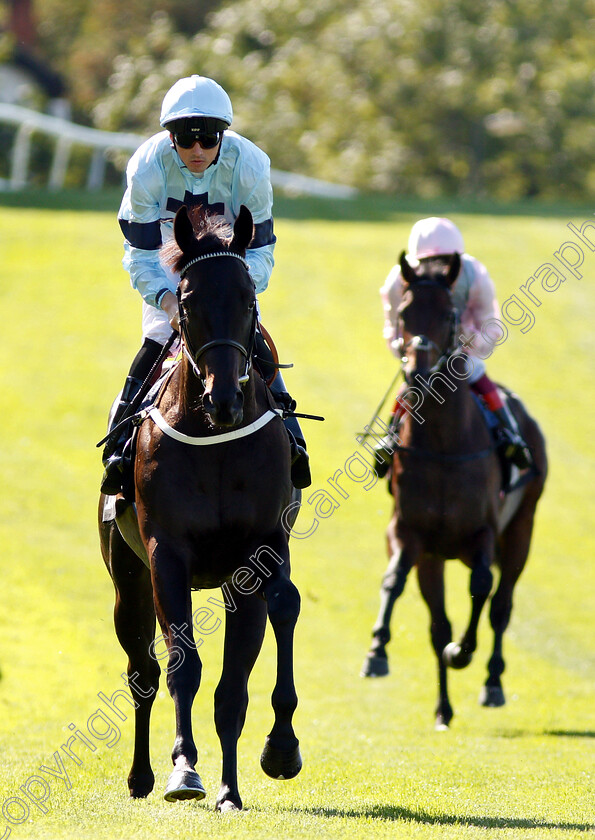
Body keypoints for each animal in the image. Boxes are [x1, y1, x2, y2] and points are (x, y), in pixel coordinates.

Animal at [100, 203, 302, 808]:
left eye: (248, 297)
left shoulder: (253, 558)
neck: (215, 440)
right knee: (141, 671)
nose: (224, 397)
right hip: (128, 580)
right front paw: (184, 770)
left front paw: (236, 784)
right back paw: (141, 775)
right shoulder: (166, 555)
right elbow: (181, 666)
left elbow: (234, 685)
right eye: (187, 301)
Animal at [360, 251, 548, 728]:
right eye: (404, 311)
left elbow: (482, 586)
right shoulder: (408, 532)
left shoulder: (484, 532)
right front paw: (377, 650)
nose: (417, 372)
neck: (444, 446)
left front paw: (463, 652)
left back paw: (492, 682)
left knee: (501, 605)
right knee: (438, 624)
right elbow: (395, 581)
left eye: (449, 313)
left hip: (522, 529)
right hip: (435, 558)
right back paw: (443, 707)